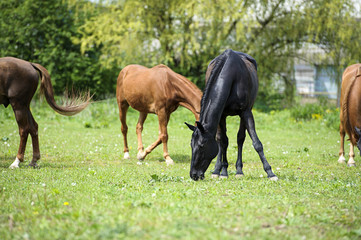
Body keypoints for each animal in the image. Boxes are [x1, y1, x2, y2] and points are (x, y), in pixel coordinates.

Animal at [184, 49, 278, 181]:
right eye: (191, 145)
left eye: (202, 146)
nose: (194, 175)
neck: (230, 76)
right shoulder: (221, 115)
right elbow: (223, 142)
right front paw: (223, 172)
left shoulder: (246, 112)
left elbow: (256, 143)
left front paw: (270, 173)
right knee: (220, 140)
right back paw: (217, 170)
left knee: (240, 138)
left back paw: (239, 170)